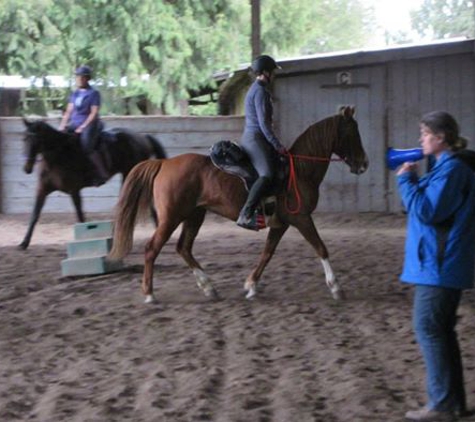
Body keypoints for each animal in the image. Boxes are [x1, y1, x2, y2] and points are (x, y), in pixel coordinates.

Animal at [109, 106, 370, 304]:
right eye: (352, 132)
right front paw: (336, 287)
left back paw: (209, 287)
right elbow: (321, 248)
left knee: (184, 248)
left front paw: (251, 285)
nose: (364, 164)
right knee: (152, 248)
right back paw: (149, 294)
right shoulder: (302, 218)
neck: (299, 170)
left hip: (194, 215)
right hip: (172, 217)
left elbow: (267, 253)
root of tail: (164, 163)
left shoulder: (282, 224)